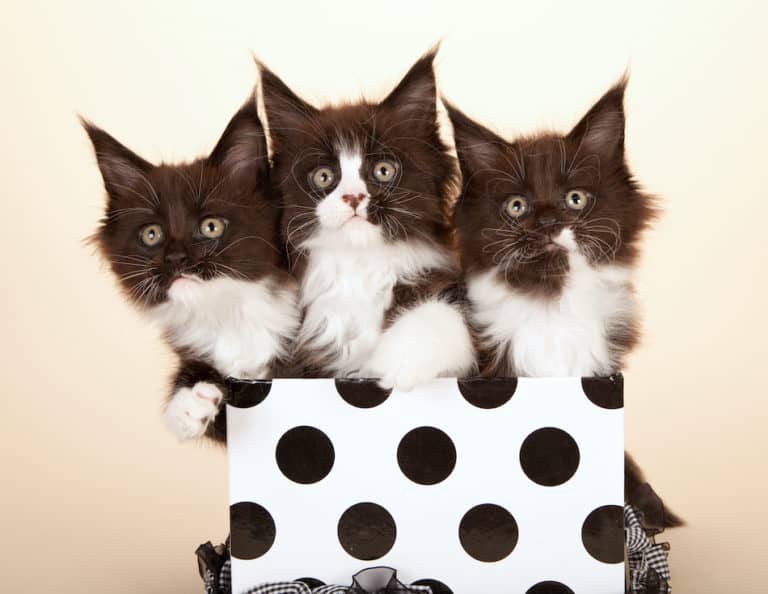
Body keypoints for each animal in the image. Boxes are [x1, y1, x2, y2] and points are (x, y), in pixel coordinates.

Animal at [258, 48, 474, 386]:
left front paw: (395, 361)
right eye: (323, 176)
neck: (362, 265)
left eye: (384, 170)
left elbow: (445, 312)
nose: (353, 198)